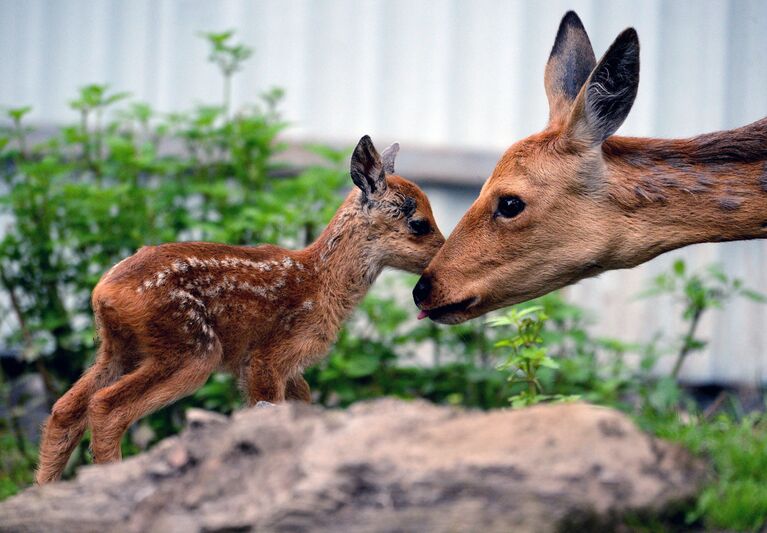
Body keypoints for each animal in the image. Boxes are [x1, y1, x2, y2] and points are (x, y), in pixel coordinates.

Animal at [37, 136, 444, 482]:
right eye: (419, 223)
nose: (442, 254)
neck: (322, 282)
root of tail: (104, 292)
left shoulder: (286, 368)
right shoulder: (267, 357)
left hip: (118, 348)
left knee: (64, 410)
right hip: (190, 347)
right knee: (106, 407)